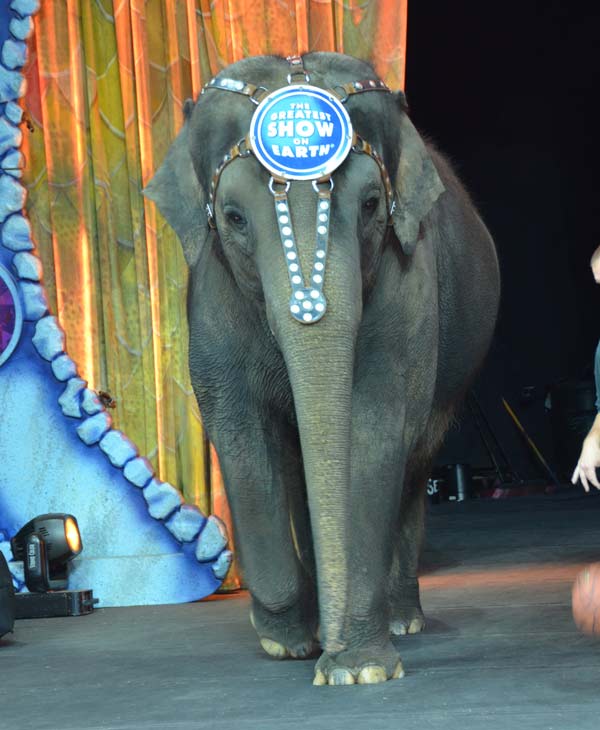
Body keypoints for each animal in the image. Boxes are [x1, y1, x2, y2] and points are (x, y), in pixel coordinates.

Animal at [144, 52, 500, 686]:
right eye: (233, 217)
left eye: (371, 205)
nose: (329, 655)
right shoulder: (209, 293)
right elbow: (240, 433)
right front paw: (290, 642)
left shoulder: (407, 282)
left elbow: (374, 427)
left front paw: (358, 670)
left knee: (414, 466)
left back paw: (403, 620)